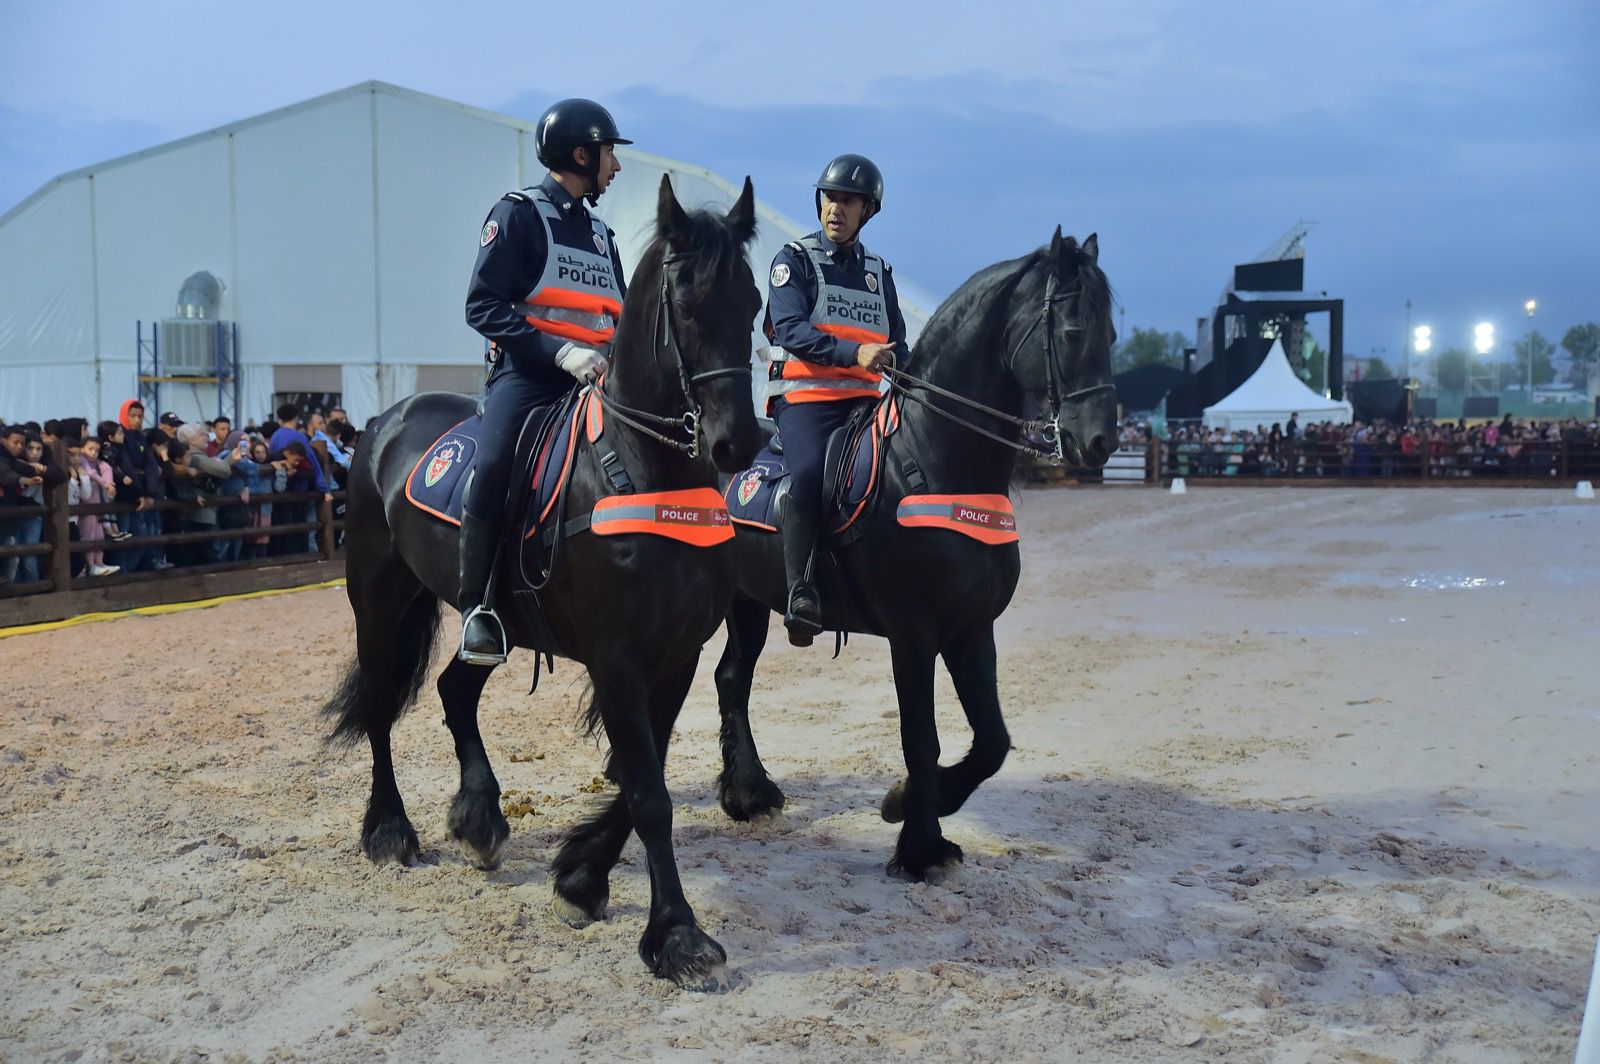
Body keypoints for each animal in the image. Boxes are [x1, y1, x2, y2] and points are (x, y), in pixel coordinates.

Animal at [324, 176, 761, 985]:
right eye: (687, 303)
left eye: (752, 303)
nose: (737, 443)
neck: (641, 469)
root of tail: (385, 419)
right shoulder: (618, 658)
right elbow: (648, 793)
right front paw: (676, 935)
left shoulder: (677, 653)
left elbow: (642, 774)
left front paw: (582, 878)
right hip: (377, 600)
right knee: (378, 708)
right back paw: (390, 830)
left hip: (488, 619)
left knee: (453, 691)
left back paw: (478, 817)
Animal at [713, 230, 1113, 876]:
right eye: (1075, 332)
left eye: (1113, 335)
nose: (1101, 440)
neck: (933, 461)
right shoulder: (914, 632)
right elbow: (922, 736)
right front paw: (920, 846)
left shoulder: (971, 629)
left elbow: (993, 741)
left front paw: (910, 805)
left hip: (749, 601)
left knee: (732, 678)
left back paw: (748, 794)